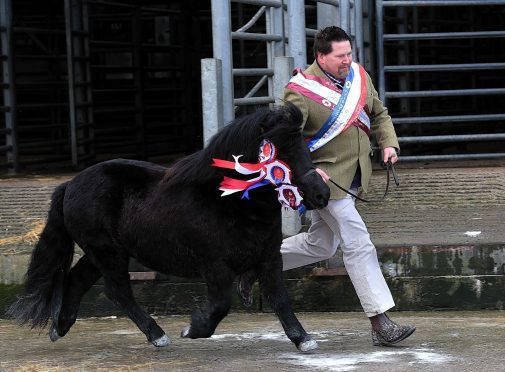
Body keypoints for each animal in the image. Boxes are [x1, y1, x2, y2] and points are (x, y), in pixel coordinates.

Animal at [8, 104, 330, 352]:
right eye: (282, 151)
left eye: (304, 146)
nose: (322, 194)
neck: (229, 201)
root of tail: (70, 184)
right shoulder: (215, 266)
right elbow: (220, 305)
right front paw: (192, 329)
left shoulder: (269, 258)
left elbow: (280, 299)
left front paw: (303, 339)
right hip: (107, 251)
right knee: (117, 291)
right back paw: (158, 335)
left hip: (102, 252)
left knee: (77, 280)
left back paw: (60, 327)